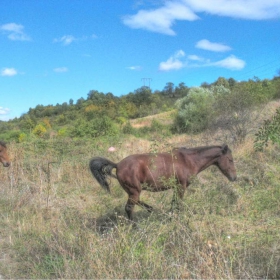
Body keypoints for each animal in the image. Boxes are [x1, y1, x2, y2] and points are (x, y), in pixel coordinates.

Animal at [89, 144, 236, 221]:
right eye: (230, 159)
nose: (234, 178)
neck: (188, 160)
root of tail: (117, 165)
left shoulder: (176, 187)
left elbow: (174, 203)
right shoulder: (181, 186)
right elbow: (178, 204)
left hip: (133, 191)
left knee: (136, 202)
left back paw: (150, 209)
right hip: (134, 191)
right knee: (129, 208)